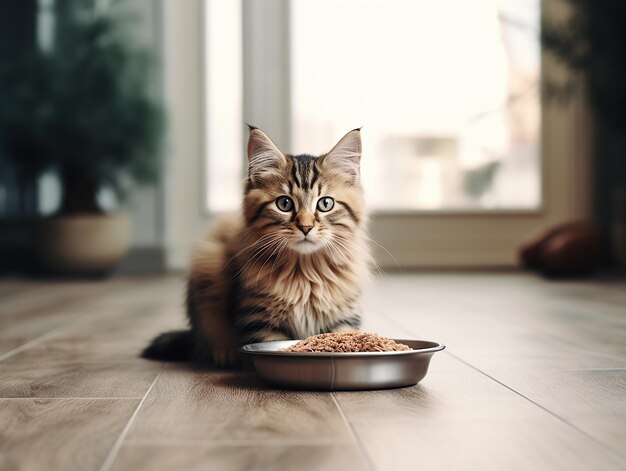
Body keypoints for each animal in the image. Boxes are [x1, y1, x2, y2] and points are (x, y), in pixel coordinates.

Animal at [144, 127, 370, 366]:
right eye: (284, 204)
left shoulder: (343, 318)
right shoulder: (260, 318)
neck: (305, 273)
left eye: (325, 204)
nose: (306, 227)